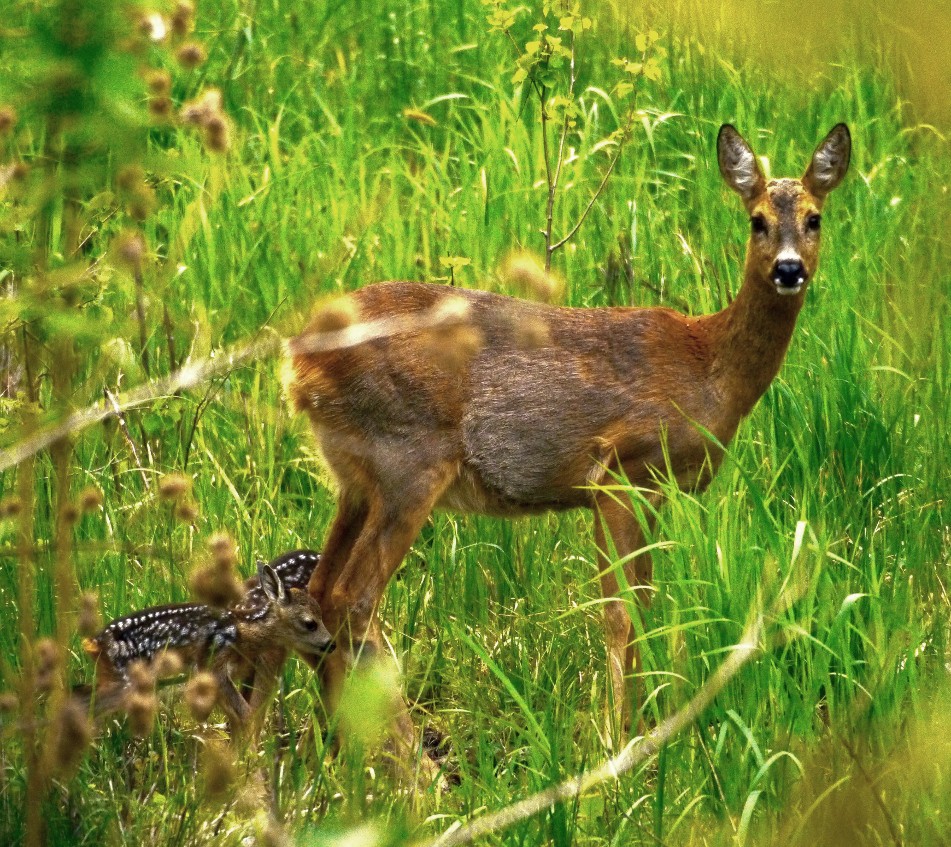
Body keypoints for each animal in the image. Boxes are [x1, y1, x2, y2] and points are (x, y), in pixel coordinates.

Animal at [288, 124, 848, 768]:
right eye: (757, 220)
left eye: (814, 218)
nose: (788, 269)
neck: (708, 365)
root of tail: (297, 365)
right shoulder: (621, 471)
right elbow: (620, 613)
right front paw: (617, 740)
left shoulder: (648, 490)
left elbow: (644, 604)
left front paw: (643, 723)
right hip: (409, 459)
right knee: (355, 598)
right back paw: (413, 766)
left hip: (355, 479)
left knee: (319, 590)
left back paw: (342, 751)